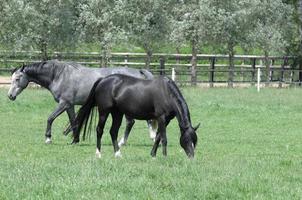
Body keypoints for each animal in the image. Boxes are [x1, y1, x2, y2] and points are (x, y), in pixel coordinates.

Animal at [7, 60, 157, 145]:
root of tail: (138, 71)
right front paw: (75, 139)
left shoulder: (63, 103)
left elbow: (50, 118)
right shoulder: (70, 105)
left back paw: (125, 142)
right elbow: (73, 121)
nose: (10, 96)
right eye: (12, 78)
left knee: (132, 122)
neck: (59, 75)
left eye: (18, 79)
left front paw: (48, 138)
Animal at [72, 73, 201, 158]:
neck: (167, 93)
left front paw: (153, 155)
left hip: (117, 113)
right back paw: (98, 153)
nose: (191, 156)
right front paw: (164, 156)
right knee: (99, 130)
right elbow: (164, 138)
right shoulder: (161, 118)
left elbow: (158, 137)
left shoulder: (166, 120)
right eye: (187, 139)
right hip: (104, 111)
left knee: (113, 132)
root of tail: (103, 79)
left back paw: (118, 153)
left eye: (195, 140)